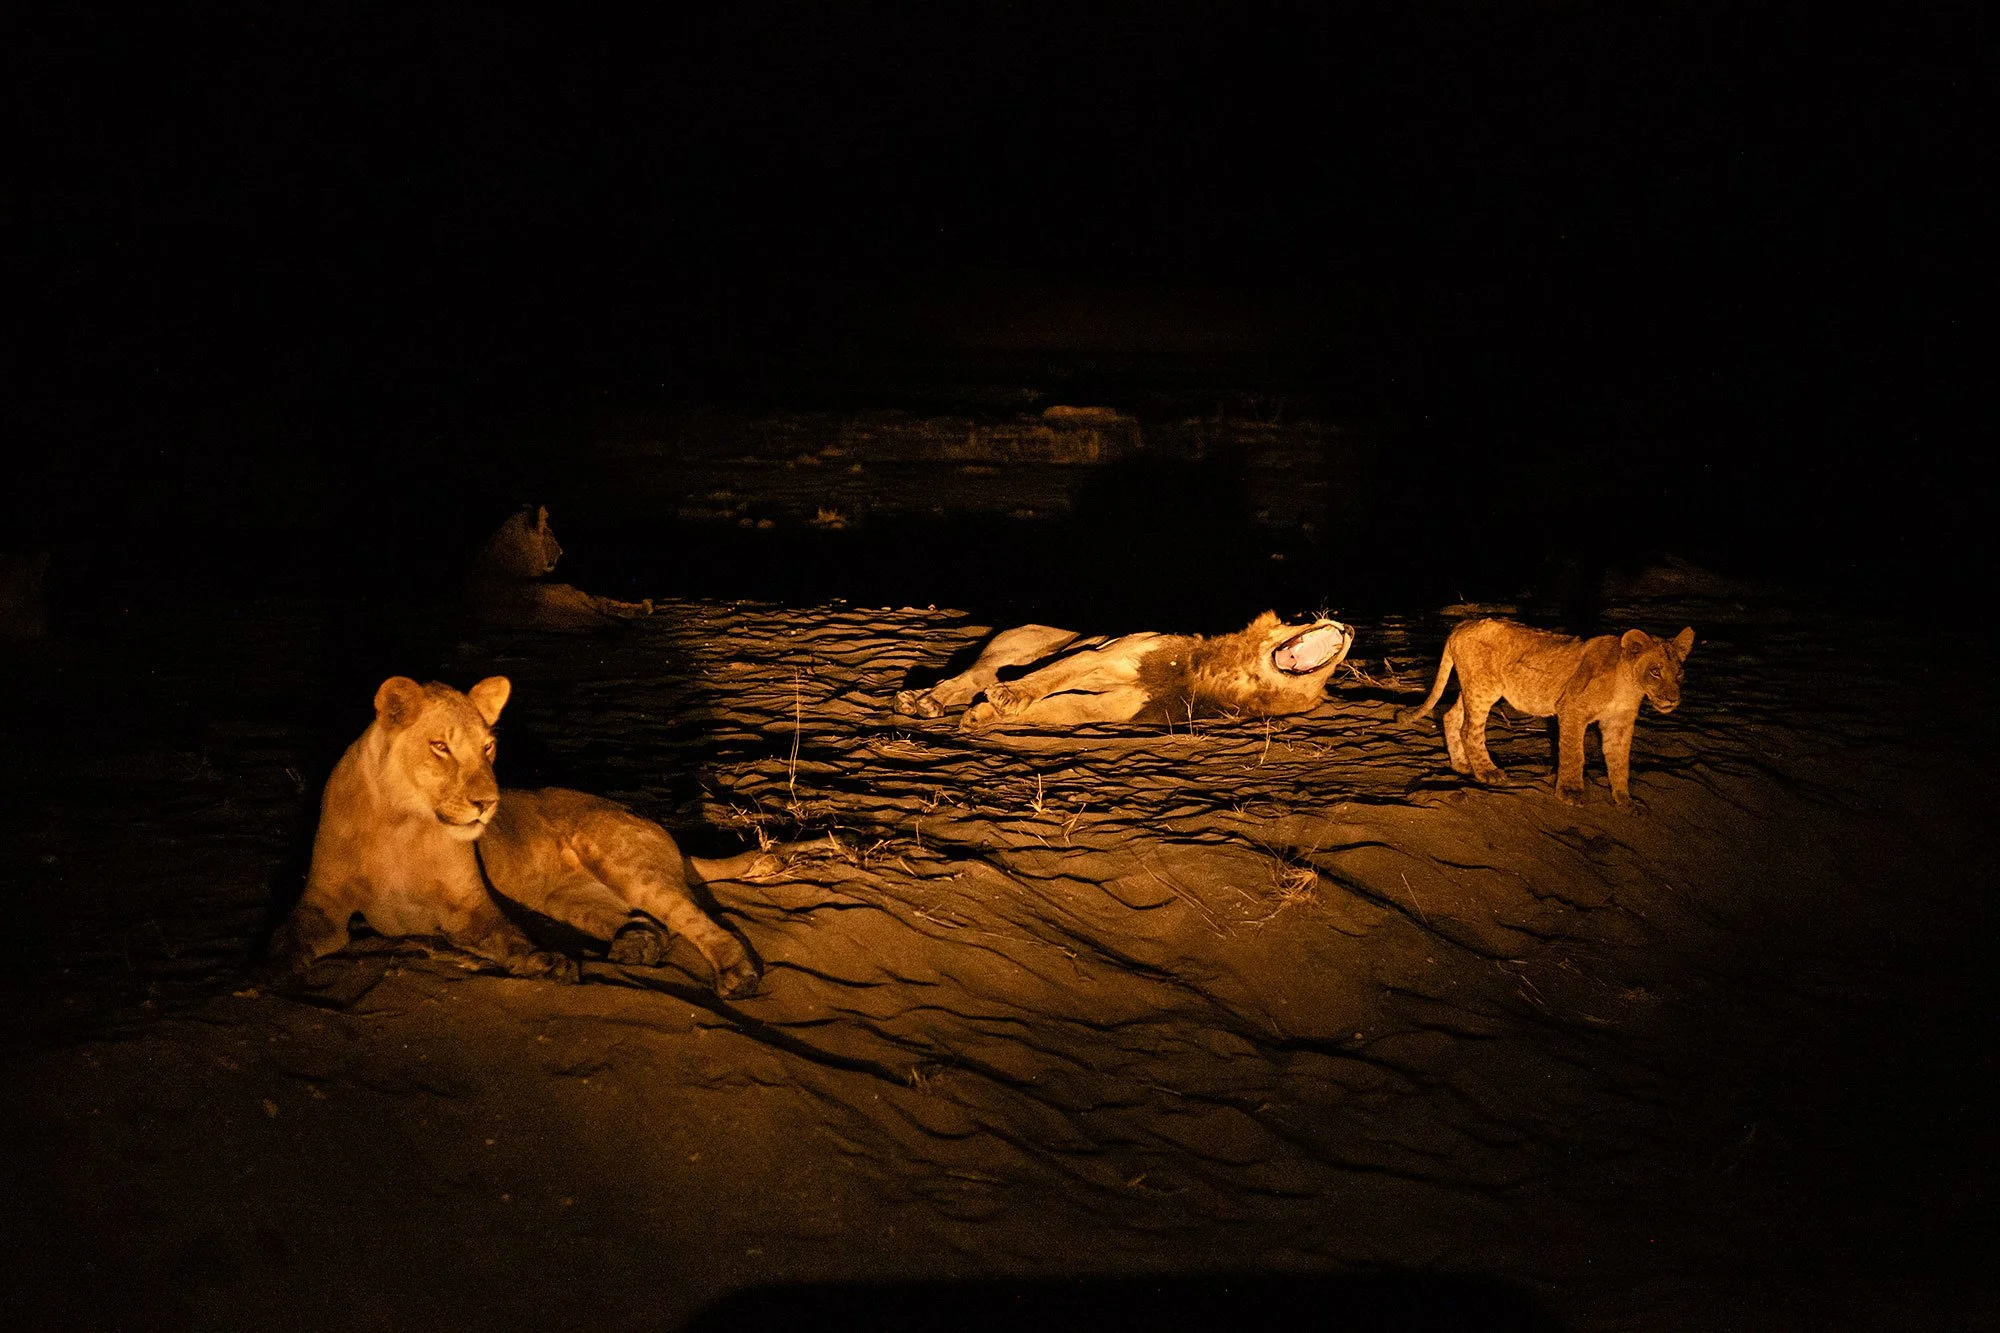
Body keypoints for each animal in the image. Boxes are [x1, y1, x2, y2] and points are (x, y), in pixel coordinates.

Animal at [261, 675, 778, 996]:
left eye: (488, 746)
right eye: (440, 746)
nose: (488, 803)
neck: (401, 822)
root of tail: (646, 818)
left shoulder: (470, 907)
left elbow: (510, 938)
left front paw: (544, 962)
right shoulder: (324, 906)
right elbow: (285, 940)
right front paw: (267, 975)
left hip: (620, 857)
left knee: (696, 919)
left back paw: (736, 972)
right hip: (568, 900)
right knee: (649, 923)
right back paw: (637, 944)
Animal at [894, 612, 1356, 730]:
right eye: (1301, 615)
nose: (1350, 627)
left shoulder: (1117, 707)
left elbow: (1060, 710)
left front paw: (984, 715)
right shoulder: (1104, 654)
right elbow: (1047, 679)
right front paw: (1006, 699)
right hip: (1010, 649)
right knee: (962, 678)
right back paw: (920, 701)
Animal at [1400, 618, 1695, 809]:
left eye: (1679, 674)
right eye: (1655, 671)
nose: (1673, 699)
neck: (1629, 686)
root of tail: (1461, 626)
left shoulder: (1619, 723)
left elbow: (1620, 760)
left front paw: (1624, 799)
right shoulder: (1572, 709)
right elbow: (1574, 754)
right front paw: (1571, 793)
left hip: (1474, 686)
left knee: (1451, 717)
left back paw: (1462, 765)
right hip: (1484, 687)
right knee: (1468, 729)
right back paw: (1487, 773)